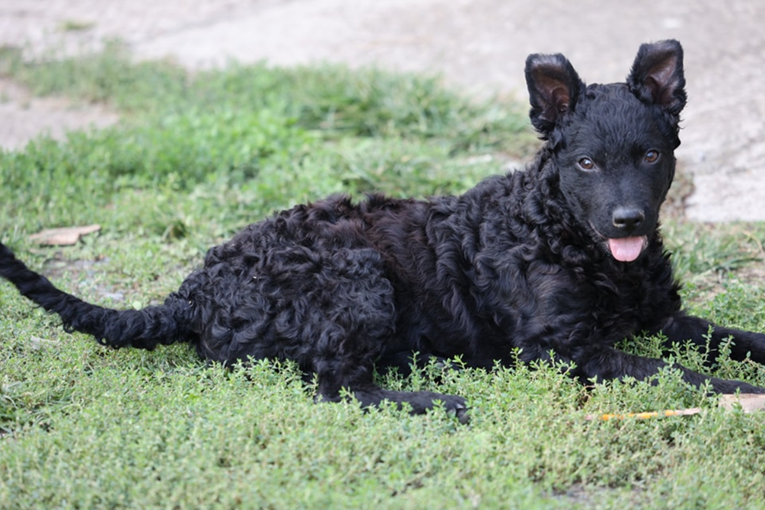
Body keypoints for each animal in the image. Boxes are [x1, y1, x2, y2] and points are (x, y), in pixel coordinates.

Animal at [1, 40, 764, 422]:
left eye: (651, 156)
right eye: (585, 163)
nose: (627, 219)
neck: (563, 233)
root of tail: (191, 293)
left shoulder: (660, 318)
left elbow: (729, 339)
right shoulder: (561, 348)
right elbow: (679, 373)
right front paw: (741, 393)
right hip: (357, 281)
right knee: (339, 389)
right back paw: (438, 397)